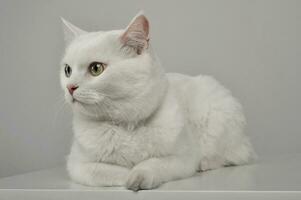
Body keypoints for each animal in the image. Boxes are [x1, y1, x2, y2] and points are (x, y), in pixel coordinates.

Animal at [59, 12, 254, 191]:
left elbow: (153, 164)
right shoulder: (77, 165)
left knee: (230, 156)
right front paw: (128, 175)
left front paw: (138, 175)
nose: (70, 87)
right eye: (67, 70)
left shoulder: (181, 158)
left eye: (96, 68)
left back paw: (204, 164)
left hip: (219, 120)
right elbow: (106, 171)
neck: (127, 125)